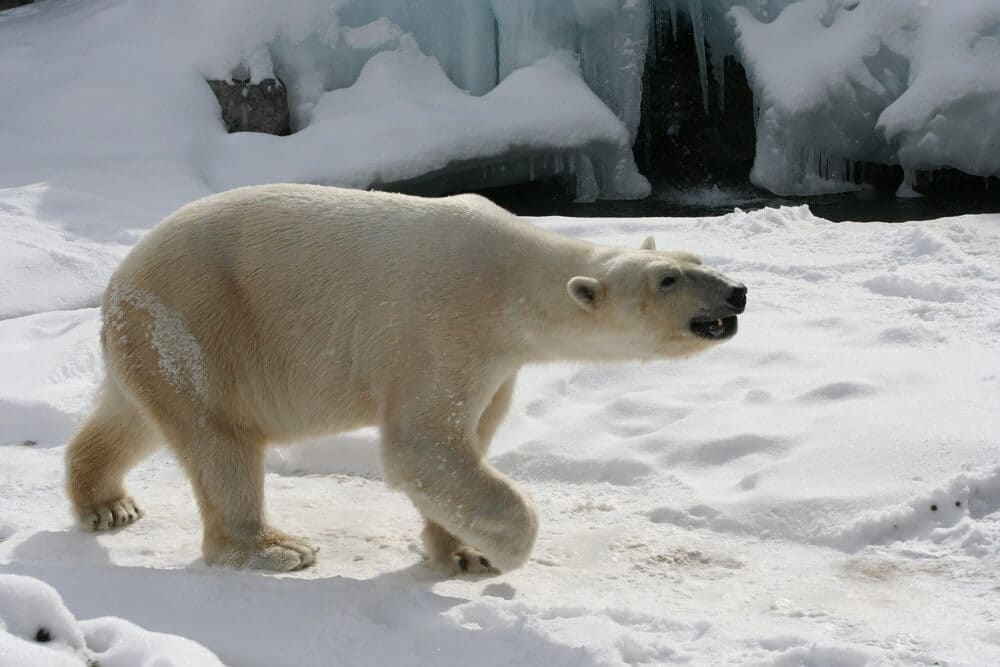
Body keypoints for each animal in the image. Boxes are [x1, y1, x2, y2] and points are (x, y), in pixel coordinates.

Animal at [65, 184, 746, 575]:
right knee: (219, 441)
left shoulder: (497, 361)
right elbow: (423, 446)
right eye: (667, 279)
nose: (737, 292)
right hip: (200, 323)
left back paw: (108, 503)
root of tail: (118, 282)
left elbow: (468, 442)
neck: (512, 280)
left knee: (133, 417)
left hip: (155, 340)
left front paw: (461, 550)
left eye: (695, 260)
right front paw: (502, 550)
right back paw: (276, 548)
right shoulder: (444, 325)